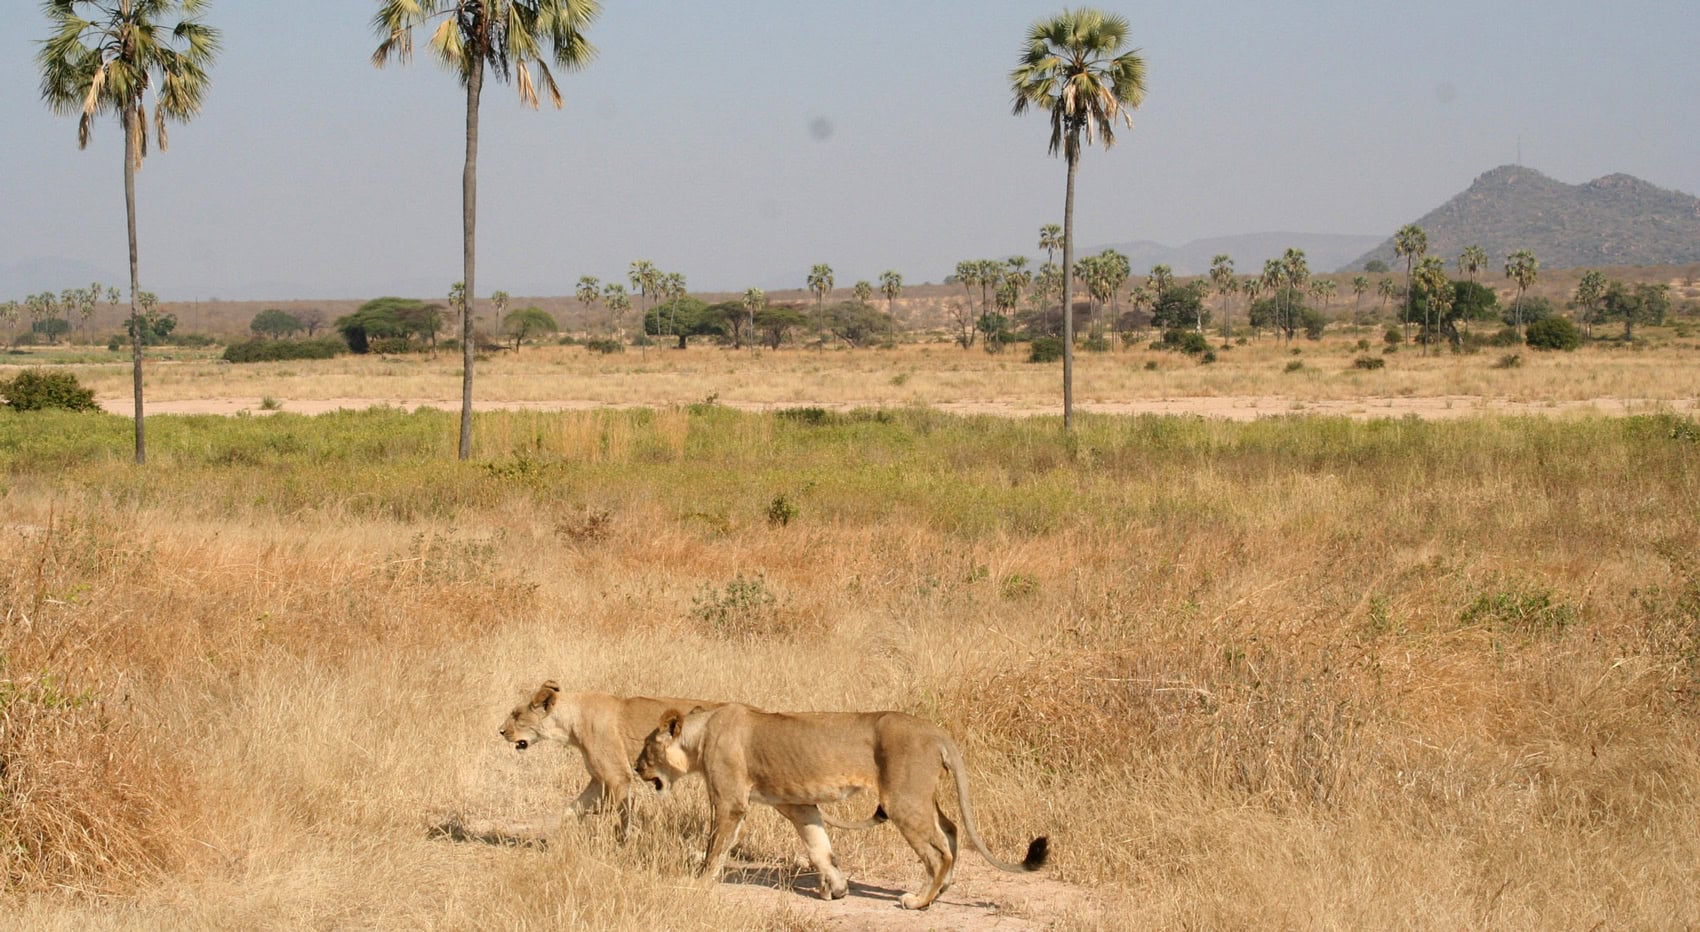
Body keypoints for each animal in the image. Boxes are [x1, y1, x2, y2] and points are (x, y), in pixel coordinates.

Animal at [635, 702, 1048, 910]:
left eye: (646, 746)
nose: (637, 768)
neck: (700, 735)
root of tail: (936, 730)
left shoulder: (730, 801)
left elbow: (715, 846)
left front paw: (697, 881)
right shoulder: (799, 805)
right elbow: (820, 848)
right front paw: (835, 888)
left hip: (902, 801)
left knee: (937, 852)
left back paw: (919, 900)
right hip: (920, 796)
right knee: (951, 829)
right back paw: (943, 888)